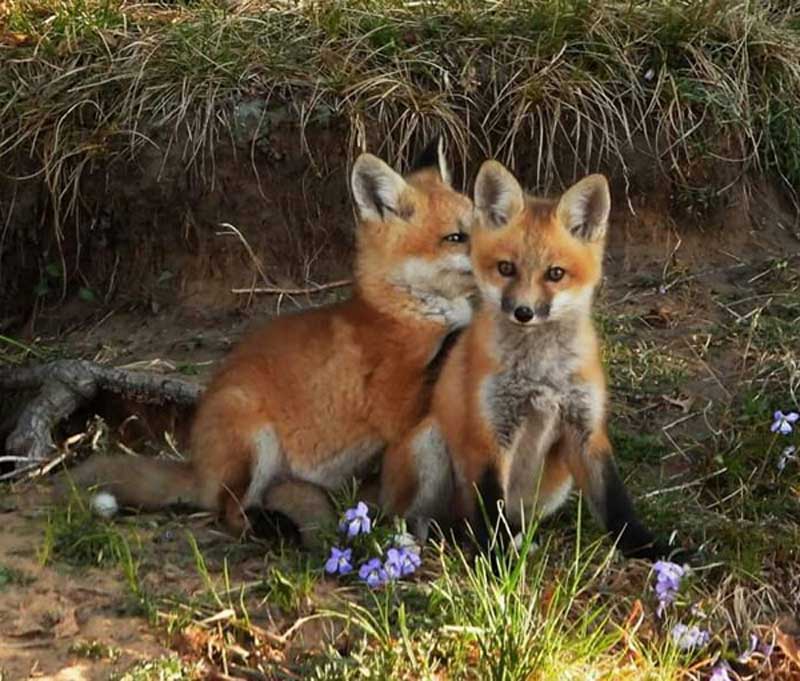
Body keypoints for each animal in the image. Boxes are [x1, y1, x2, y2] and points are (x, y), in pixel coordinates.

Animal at [64, 139, 476, 536]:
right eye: (456, 237)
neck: (403, 308)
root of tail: (198, 467)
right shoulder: (396, 407)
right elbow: (443, 354)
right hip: (254, 438)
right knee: (227, 512)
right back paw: (266, 530)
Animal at [380, 159, 664, 556]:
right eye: (506, 268)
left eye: (555, 274)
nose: (523, 312)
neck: (539, 375)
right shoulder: (490, 433)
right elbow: (490, 507)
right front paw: (494, 559)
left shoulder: (587, 429)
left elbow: (616, 505)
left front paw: (652, 550)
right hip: (431, 442)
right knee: (427, 520)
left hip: (555, 486)